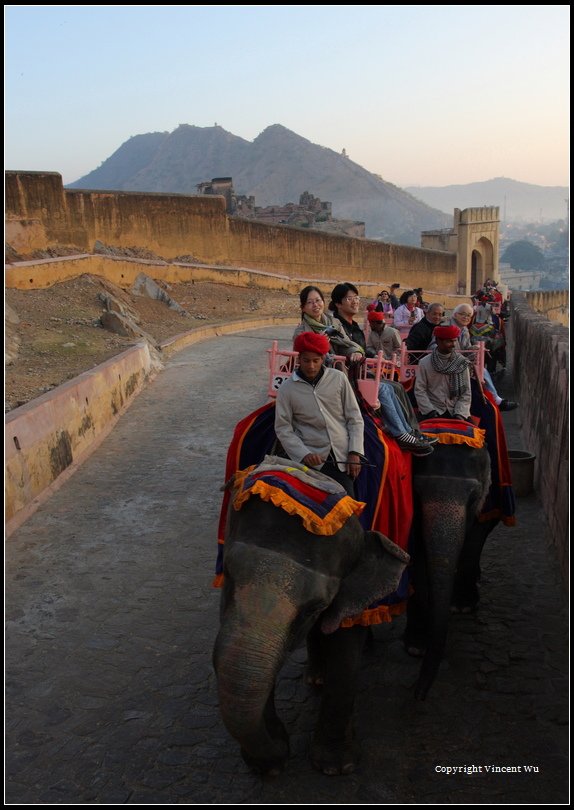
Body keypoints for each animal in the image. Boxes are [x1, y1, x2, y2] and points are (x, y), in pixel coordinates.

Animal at [214, 482, 412, 772]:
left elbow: (346, 647)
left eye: (315, 608)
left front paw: (335, 767)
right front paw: (267, 766)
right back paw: (317, 678)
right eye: (227, 573)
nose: (283, 750)